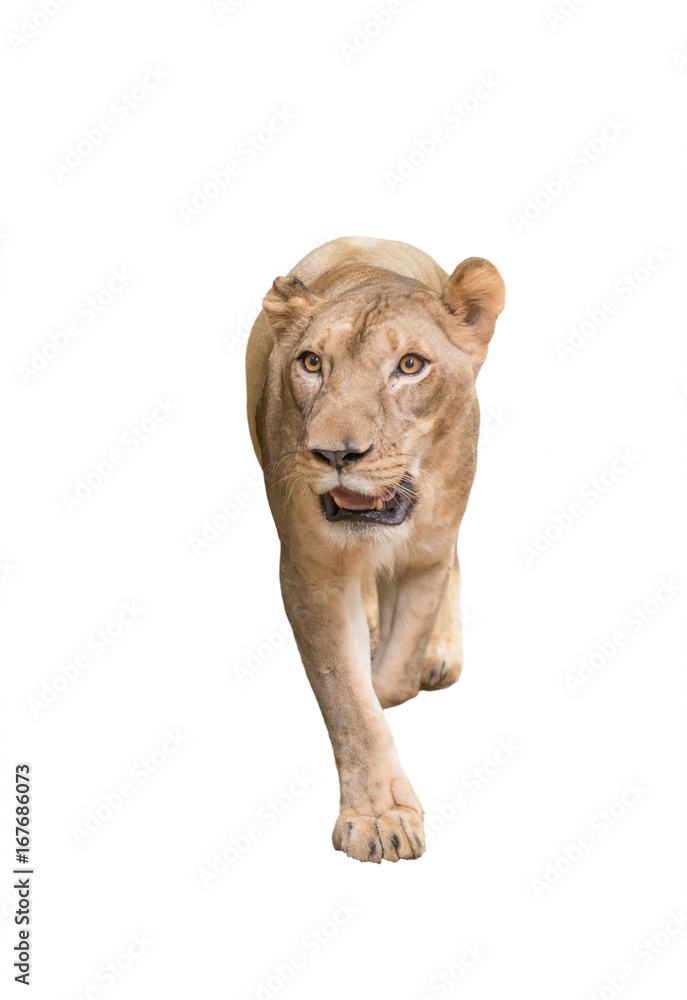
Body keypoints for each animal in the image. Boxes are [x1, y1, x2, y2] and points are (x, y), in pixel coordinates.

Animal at [245, 236, 505, 863]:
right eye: (312, 363)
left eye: (410, 365)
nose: (336, 454)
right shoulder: (310, 570)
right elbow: (349, 701)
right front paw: (379, 817)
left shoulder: (426, 557)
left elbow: (392, 680)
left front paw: (398, 668)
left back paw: (438, 651)